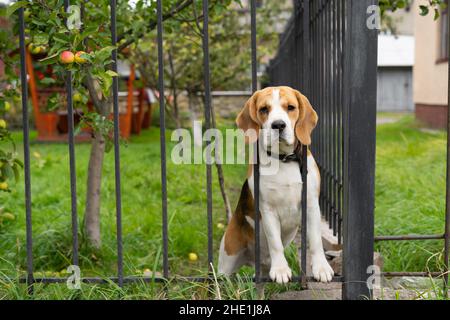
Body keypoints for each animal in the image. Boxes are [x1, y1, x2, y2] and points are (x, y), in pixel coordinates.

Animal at [218, 86, 334, 284]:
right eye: (264, 109)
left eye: (290, 107)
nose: (278, 125)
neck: (284, 159)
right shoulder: (267, 209)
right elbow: (275, 243)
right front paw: (280, 269)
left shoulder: (311, 205)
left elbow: (316, 241)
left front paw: (321, 267)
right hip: (225, 263)